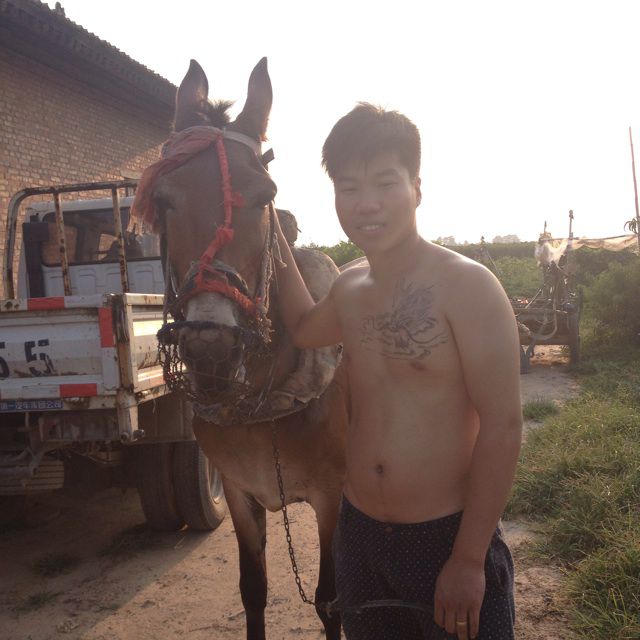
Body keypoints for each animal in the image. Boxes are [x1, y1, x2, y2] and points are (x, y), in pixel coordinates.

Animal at [132, 58, 348, 640]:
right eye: (163, 200)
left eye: (265, 195)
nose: (211, 347)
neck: (264, 403)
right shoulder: (238, 491)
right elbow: (254, 590)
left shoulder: (329, 497)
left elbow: (330, 601)